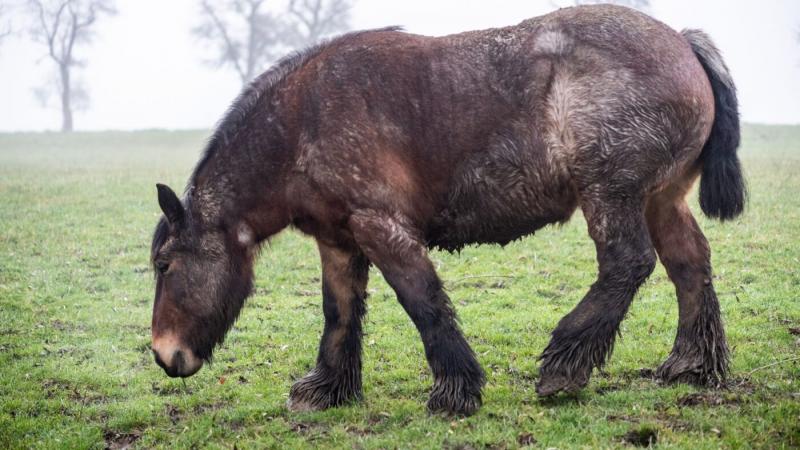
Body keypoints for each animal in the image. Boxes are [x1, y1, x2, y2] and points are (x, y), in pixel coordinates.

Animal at [148, 5, 744, 416]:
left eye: (164, 265)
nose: (162, 354)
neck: (301, 121)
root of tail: (682, 42)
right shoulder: (339, 240)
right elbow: (339, 314)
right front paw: (327, 390)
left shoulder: (382, 228)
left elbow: (423, 303)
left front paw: (455, 391)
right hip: (660, 199)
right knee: (689, 263)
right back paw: (691, 364)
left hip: (612, 195)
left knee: (627, 264)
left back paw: (565, 365)